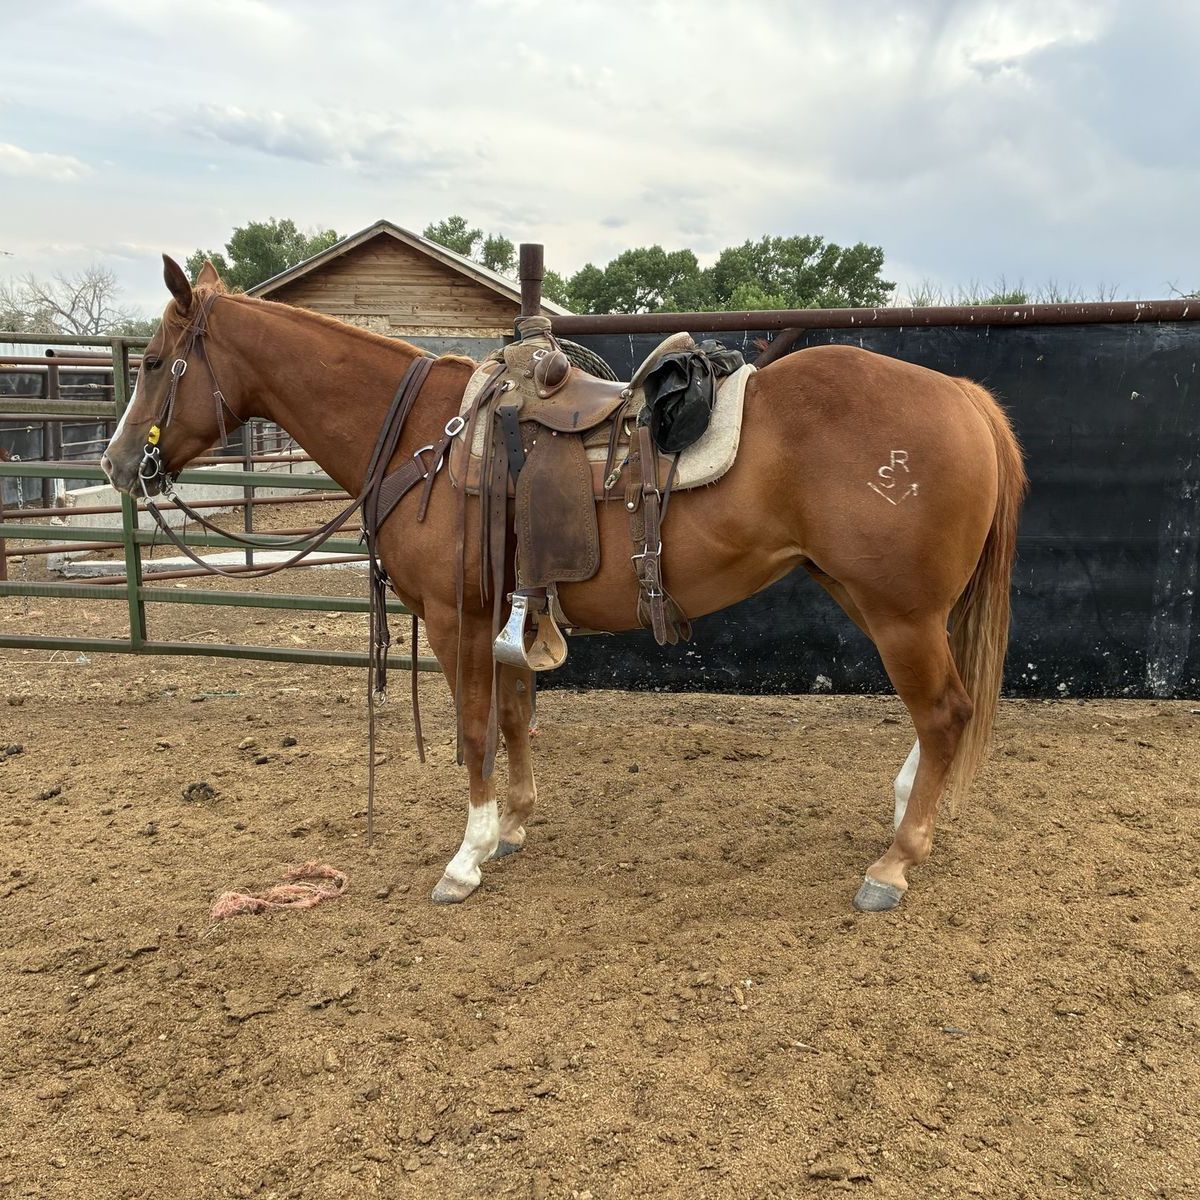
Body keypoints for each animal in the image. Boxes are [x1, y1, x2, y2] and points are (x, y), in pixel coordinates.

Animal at [102, 256, 1027, 912]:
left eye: (153, 361)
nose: (116, 465)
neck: (424, 438)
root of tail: (967, 397)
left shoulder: (456, 618)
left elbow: (475, 730)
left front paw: (465, 859)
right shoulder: (505, 611)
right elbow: (515, 718)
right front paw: (511, 826)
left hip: (901, 613)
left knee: (945, 713)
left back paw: (896, 862)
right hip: (868, 597)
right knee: (933, 717)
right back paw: (905, 817)